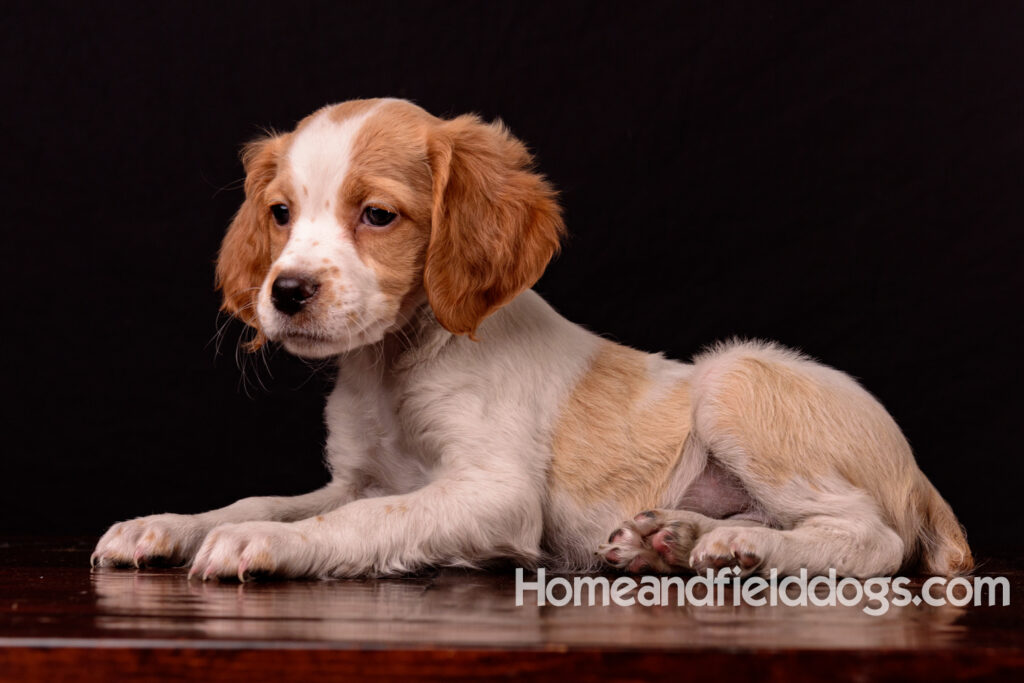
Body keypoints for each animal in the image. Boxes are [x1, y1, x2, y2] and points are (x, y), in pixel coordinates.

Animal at [92, 98, 970, 581]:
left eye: (377, 214)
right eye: (280, 213)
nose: (286, 292)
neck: (397, 361)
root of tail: (921, 476)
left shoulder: (492, 490)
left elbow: (352, 522)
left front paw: (260, 542)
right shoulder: (357, 476)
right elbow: (267, 497)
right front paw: (165, 524)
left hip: (737, 378)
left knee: (873, 538)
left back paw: (737, 549)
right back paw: (675, 538)